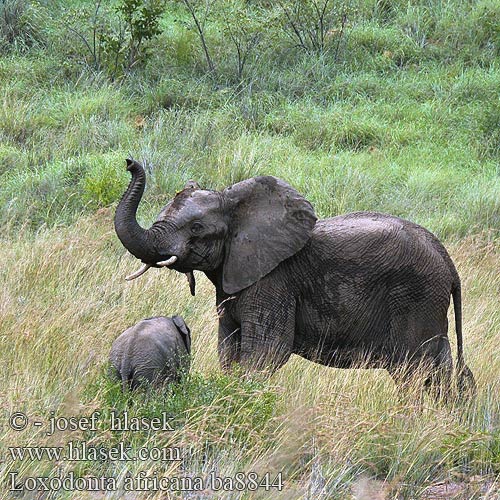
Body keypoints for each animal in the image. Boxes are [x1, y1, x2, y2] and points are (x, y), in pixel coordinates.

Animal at [114, 158, 476, 396]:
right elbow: (229, 350)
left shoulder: (274, 281)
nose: (130, 162)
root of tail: (447, 261)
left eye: (197, 228)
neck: (237, 206)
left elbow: (266, 352)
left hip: (416, 296)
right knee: (440, 367)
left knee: (415, 369)